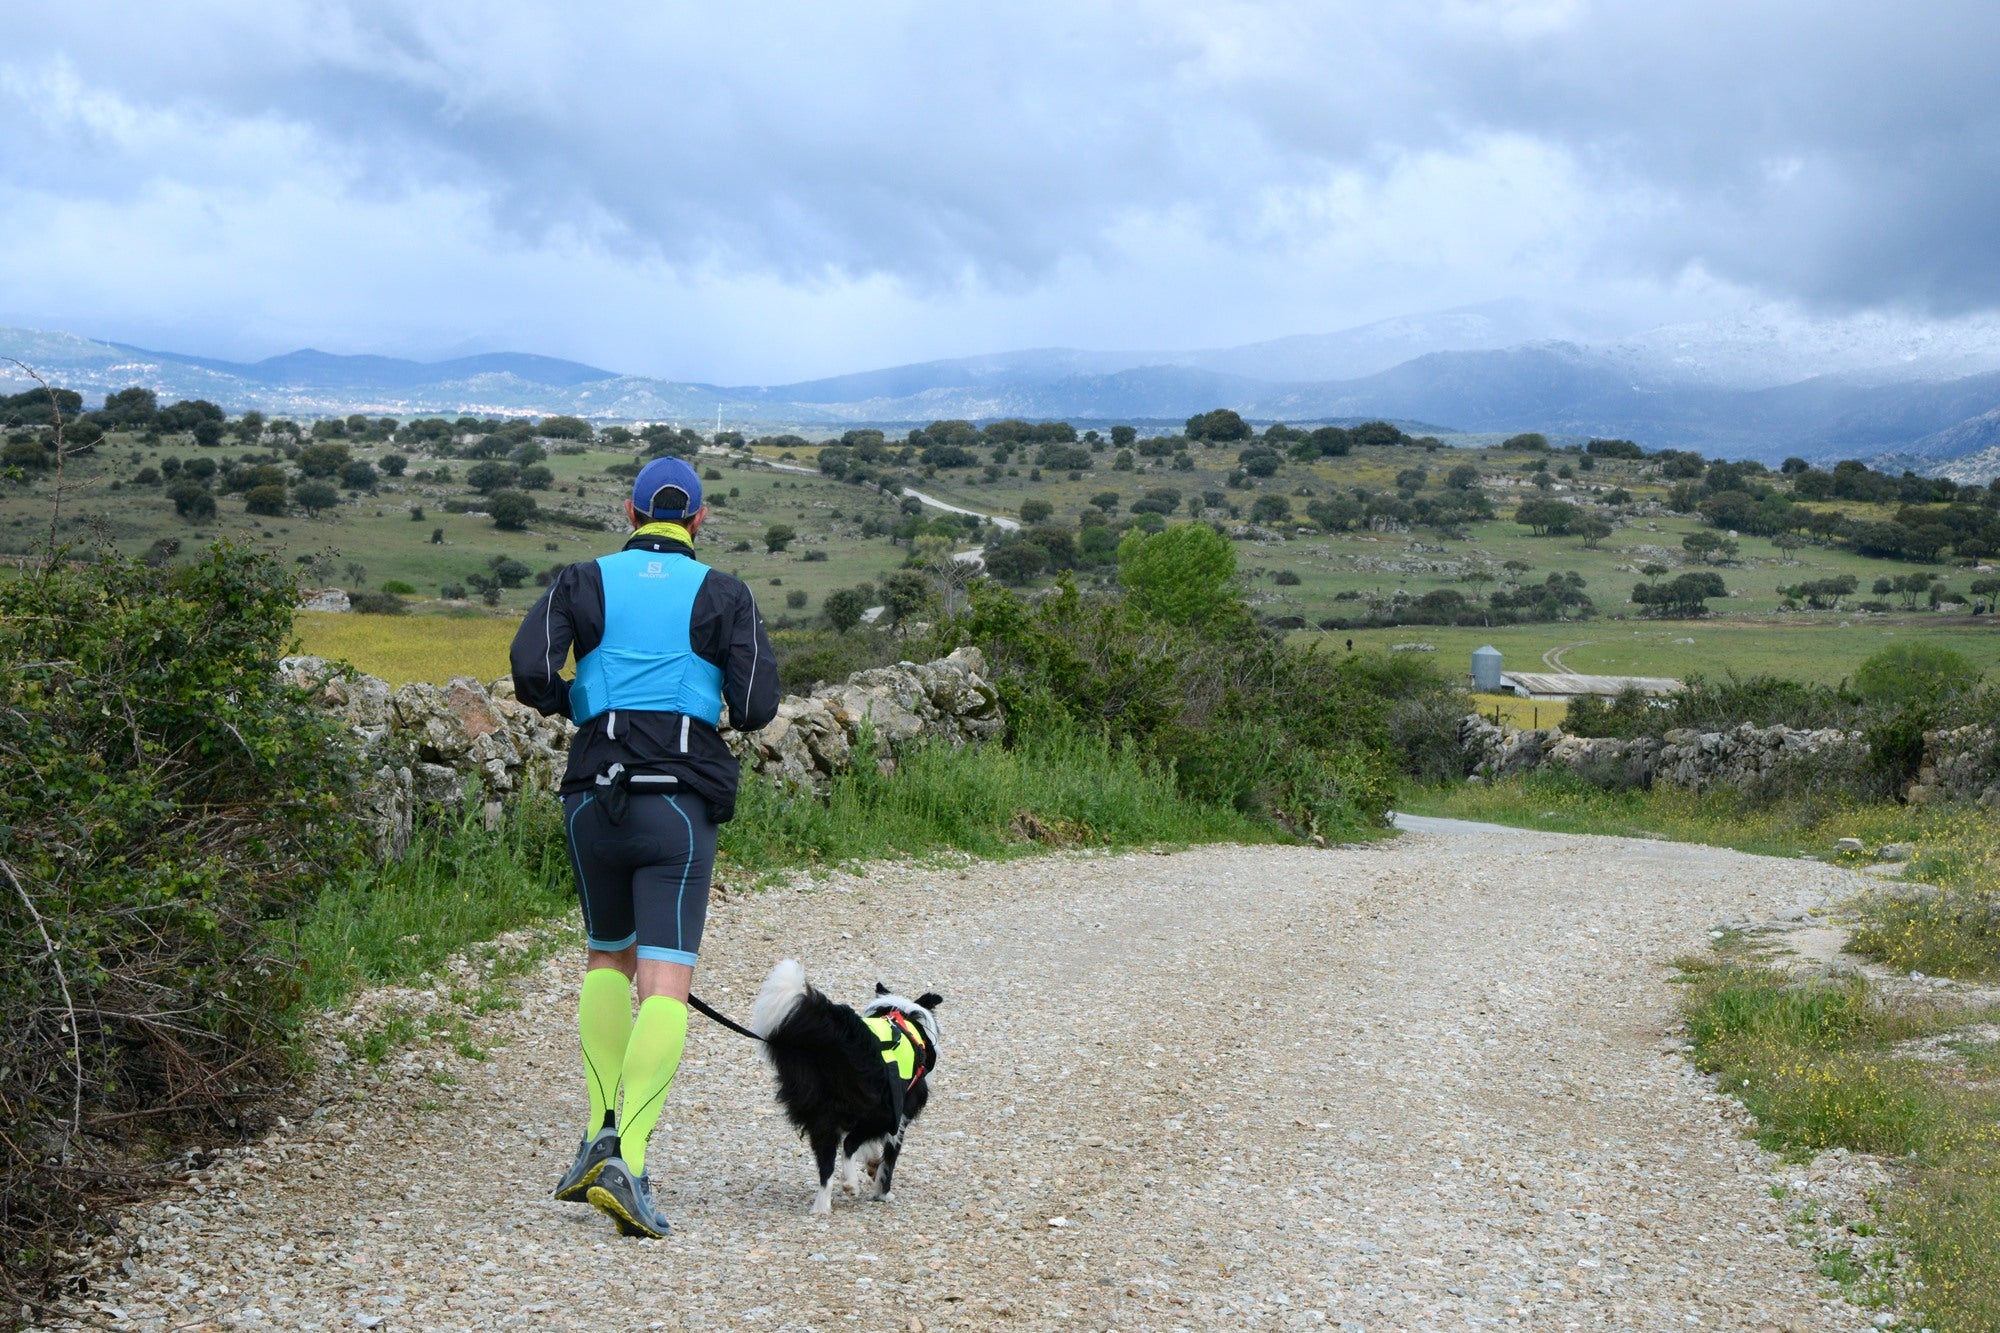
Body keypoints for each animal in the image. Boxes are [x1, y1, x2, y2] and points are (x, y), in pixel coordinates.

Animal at [752, 960, 944, 1208]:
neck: (902, 1014)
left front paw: (871, 1163)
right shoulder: (901, 1115)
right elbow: (888, 1160)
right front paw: (882, 1192)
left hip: (820, 1109)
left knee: (826, 1163)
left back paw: (822, 1206)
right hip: (878, 1111)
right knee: (849, 1144)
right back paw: (851, 1184)